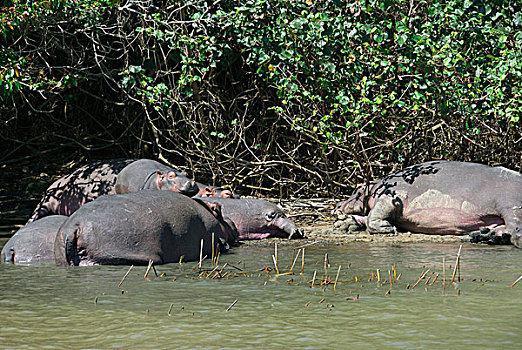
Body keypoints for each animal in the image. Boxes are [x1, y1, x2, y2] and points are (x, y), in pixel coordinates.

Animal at [29, 158, 198, 221]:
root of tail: (56, 182)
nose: (191, 183)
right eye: (171, 175)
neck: (156, 178)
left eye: (187, 174)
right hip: (44, 203)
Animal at [336, 161, 520, 249]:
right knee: (503, 227)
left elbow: (375, 213)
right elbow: (366, 216)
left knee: (514, 227)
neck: (373, 188)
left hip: (509, 204)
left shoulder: (392, 196)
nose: (338, 203)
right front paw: (344, 225)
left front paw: (388, 229)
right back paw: (480, 235)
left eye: (357, 189)